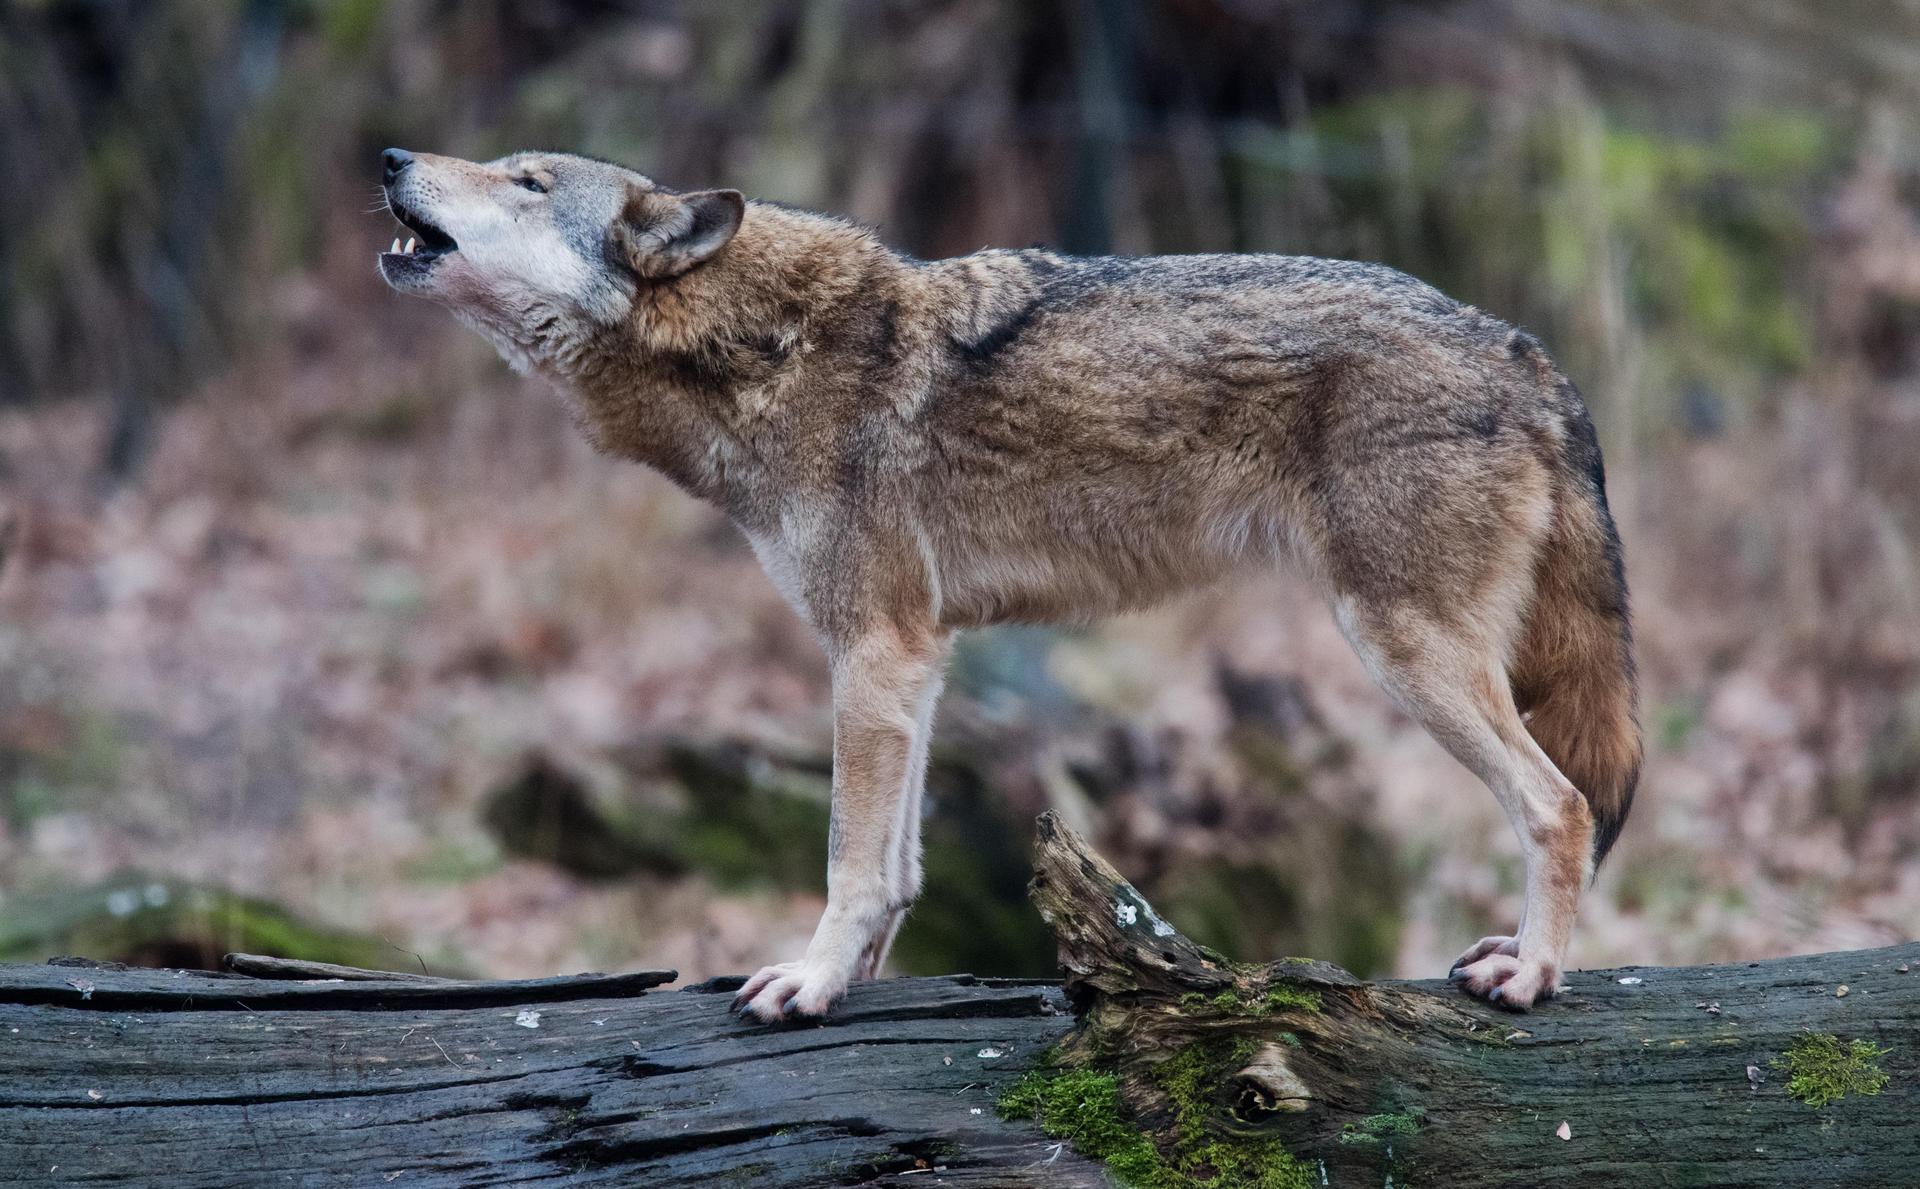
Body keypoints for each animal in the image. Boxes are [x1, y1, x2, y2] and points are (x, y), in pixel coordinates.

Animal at [376, 147, 1640, 1021]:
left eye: (527, 181)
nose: (389, 158)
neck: (762, 349)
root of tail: (1525, 348)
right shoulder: (916, 657)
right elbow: (897, 868)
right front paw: (860, 984)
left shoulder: (873, 650)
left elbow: (848, 859)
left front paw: (811, 984)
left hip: (1403, 650)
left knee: (1563, 805)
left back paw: (1533, 974)